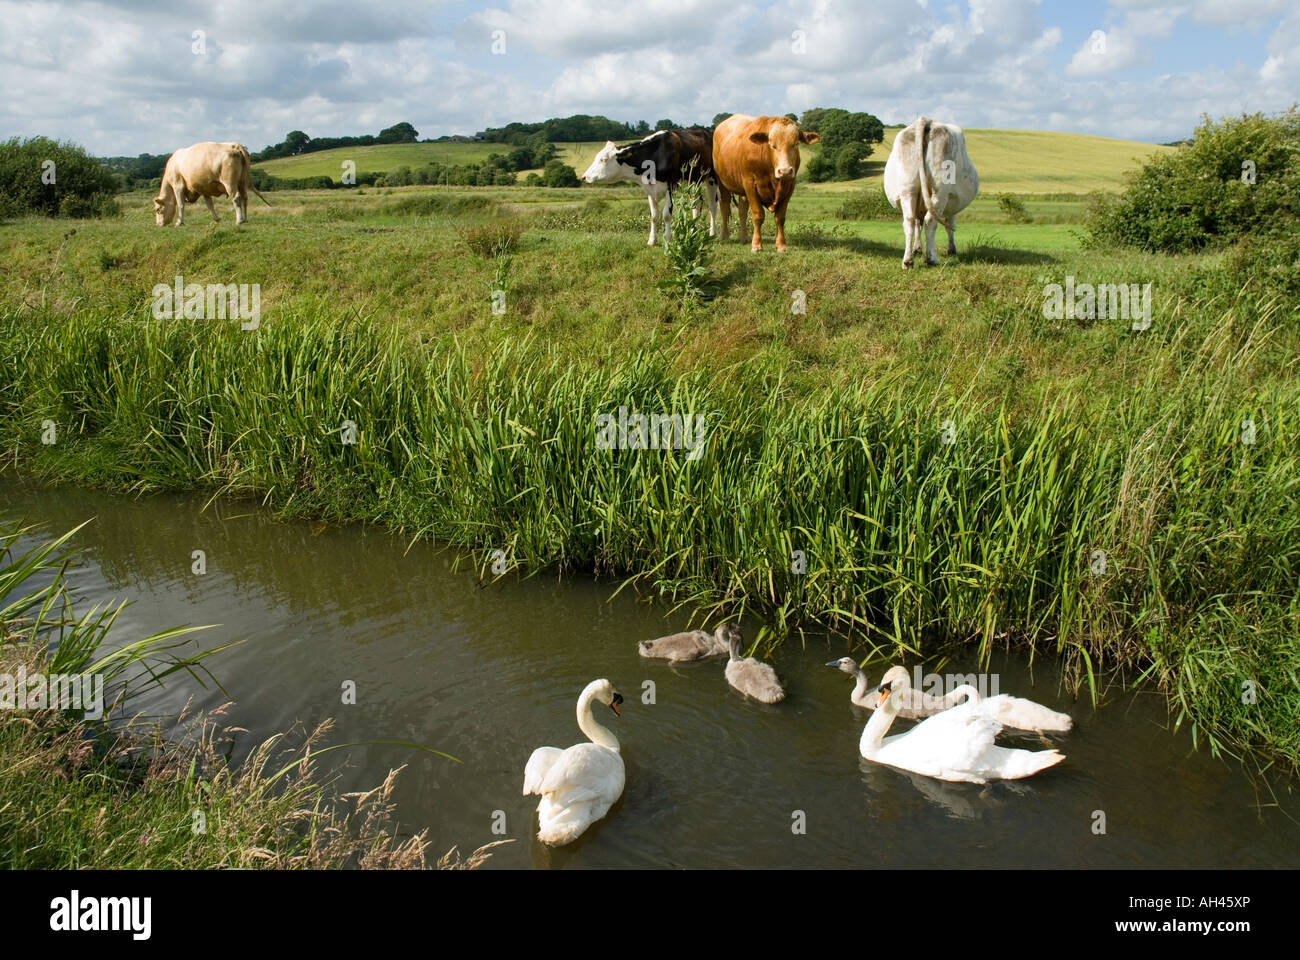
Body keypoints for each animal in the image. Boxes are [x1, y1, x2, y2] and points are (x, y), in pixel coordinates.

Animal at [579, 128, 718, 245]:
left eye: (603, 159)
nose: (584, 177)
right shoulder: (649, 189)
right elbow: (654, 216)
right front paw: (652, 240)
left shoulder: (670, 187)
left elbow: (666, 215)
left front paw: (667, 239)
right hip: (693, 182)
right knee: (697, 203)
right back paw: (693, 231)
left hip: (712, 179)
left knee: (712, 207)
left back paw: (712, 234)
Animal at [712, 114, 819, 253]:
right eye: (772, 145)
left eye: (796, 144)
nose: (785, 171)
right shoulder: (750, 184)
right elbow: (758, 215)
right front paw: (757, 245)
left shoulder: (790, 186)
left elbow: (780, 217)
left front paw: (781, 245)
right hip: (722, 182)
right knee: (724, 207)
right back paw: (724, 236)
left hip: (743, 191)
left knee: (742, 210)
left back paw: (743, 237)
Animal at [883, 117, 979, 268]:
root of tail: (926, 120)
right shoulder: (952, 204)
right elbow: (950, 225)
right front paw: (951, 249)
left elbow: (918, 223)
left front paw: (917, 249)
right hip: (939, 191)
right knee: (930, 221)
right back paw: (931, 259)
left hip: (907, 188)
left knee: (909, 220)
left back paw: (908, 261)